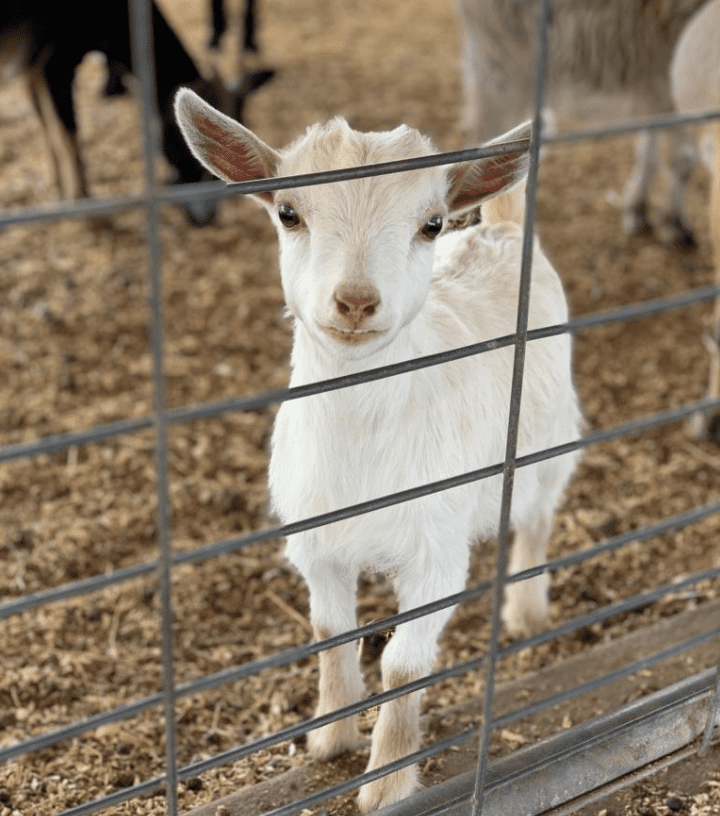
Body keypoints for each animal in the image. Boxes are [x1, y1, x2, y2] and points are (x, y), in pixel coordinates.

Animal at [0, 0, 272, 225]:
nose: (206, 219)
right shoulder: (54, 63)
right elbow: (67, 135)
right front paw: (84, 206)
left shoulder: (33, 65)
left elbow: (47, 126)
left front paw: (57, 187)